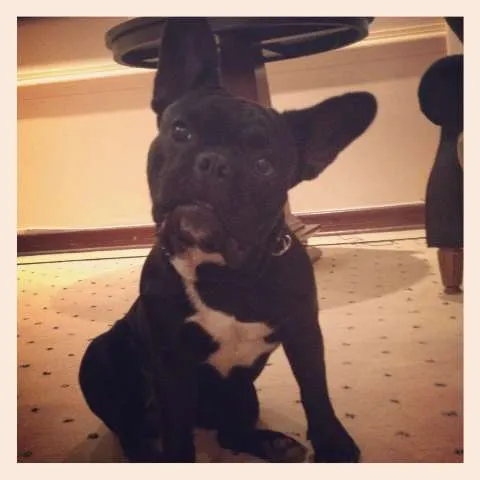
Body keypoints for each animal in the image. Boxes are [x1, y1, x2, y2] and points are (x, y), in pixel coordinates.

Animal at [79, 18, 377, 463]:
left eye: (264, 165)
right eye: (181, 131)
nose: (215, 161)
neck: (224, 273)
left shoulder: (305, 334)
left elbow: (316, 393)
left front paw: (333, 445)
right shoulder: (171, 363)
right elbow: (178, 433)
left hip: (243, 395)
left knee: (231, 432)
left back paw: (271, 443)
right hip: (98, 358)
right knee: (129, 429)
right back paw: (148, 452)